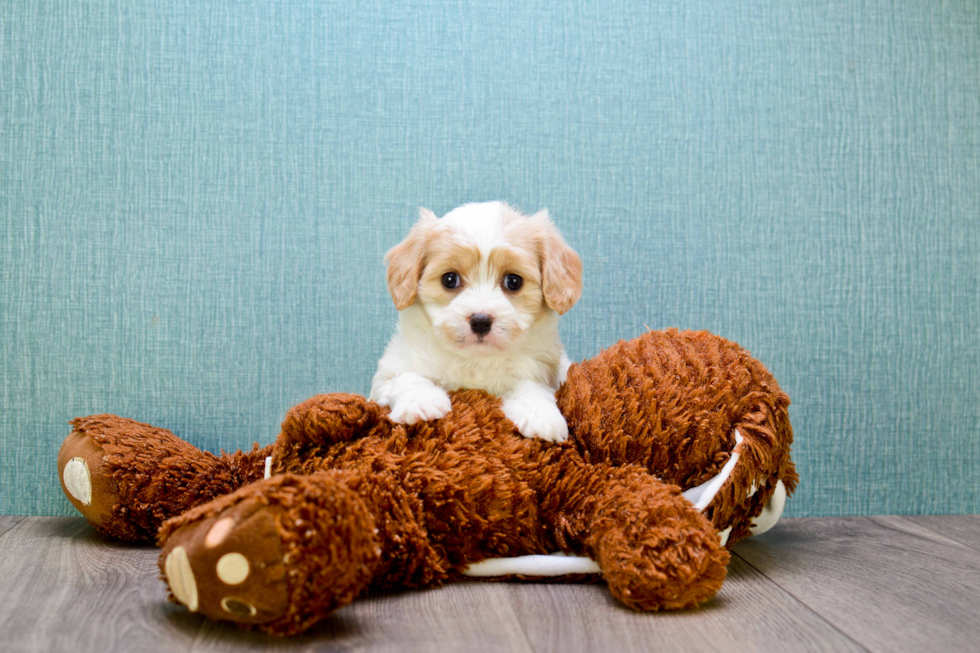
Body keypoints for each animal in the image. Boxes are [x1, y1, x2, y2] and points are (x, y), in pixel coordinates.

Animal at [368, 201, 580, 440]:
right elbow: (405, 377)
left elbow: (532, 386)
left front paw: (540, 414)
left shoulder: (544, 370)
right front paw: (421, 401)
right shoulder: (387, 375)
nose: (480, 321)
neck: (475, 360)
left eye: (513, 281)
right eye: (449, 279)